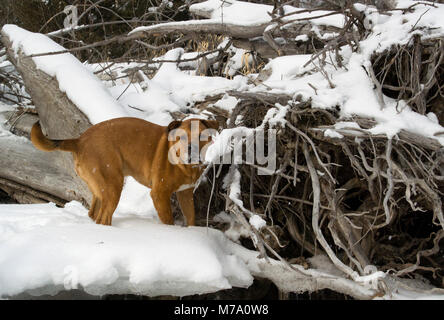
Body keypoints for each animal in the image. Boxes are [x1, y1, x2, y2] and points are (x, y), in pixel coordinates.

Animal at [30, 119, 219, 226]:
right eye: (181, 136)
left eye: (202, 135)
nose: (192, 149)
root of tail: (79, 140)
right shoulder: (159, 194)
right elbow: (168, 221)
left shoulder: (185, 194)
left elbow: (191, 219)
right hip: (113, 186)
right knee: (103, 218)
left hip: (100, 189)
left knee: (93, 214)